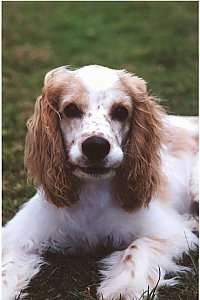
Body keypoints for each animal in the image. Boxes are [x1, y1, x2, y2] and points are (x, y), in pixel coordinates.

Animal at [2, 65, 198, 300]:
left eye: (121, 111)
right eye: (71, 109)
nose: (96, 146)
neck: (92, 194)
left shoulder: (169, 232)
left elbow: (137, 248)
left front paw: (124, 287)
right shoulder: (17, 236)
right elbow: (5, 270)